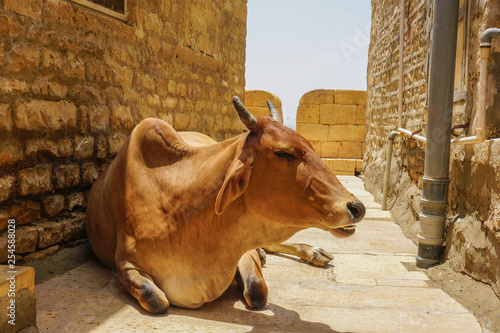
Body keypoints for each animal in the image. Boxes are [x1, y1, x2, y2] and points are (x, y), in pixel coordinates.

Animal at [86, 95, 366, 312]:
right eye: (284, 152)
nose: (356, 207)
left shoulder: (241, 248)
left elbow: (257, 291)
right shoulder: (126, 262)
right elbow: (157, 301)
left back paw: (313, 252)